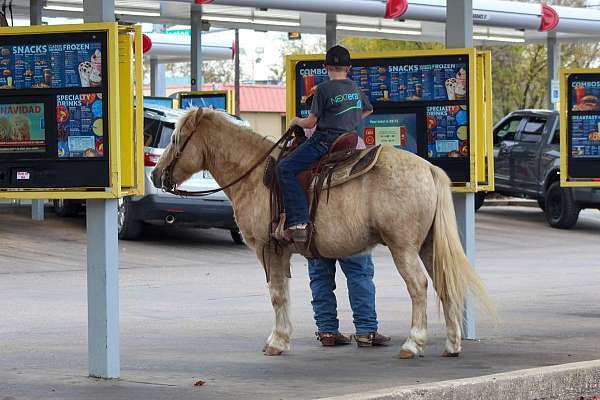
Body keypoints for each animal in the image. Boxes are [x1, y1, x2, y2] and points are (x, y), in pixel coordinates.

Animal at [152, 107, 494, 360]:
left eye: (177, 139)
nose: (156, 174)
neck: (256, 174)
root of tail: (429, 169)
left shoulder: (269, 249)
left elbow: (277, 295)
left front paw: (276, 341)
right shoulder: (282, 252)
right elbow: (285, 293)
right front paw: (283, 337)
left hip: (404, 248)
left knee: (419, 287)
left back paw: (413, 344)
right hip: (427, 245)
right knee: (443, 284)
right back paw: (452, 344)